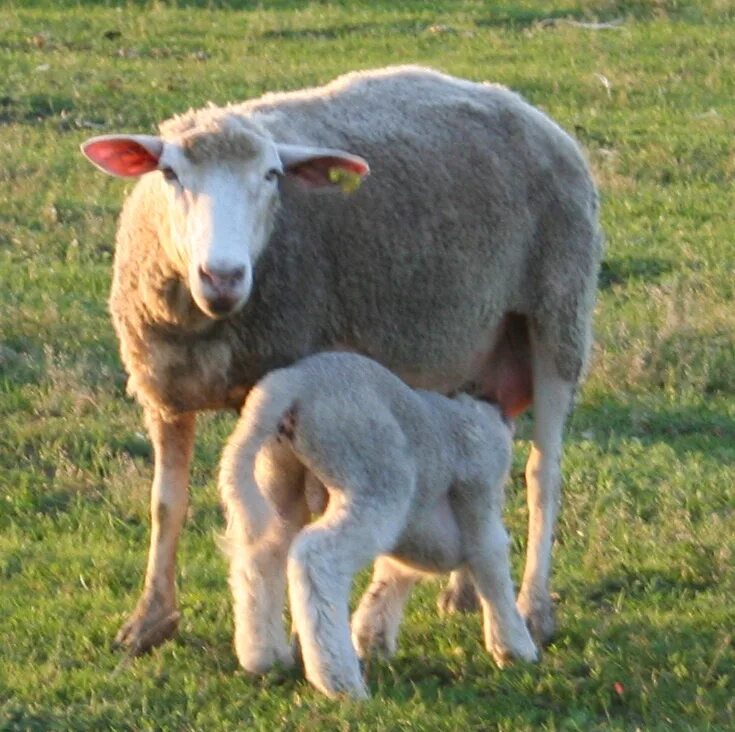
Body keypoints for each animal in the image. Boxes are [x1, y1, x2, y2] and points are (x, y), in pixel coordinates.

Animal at [80, 66, 604, 656]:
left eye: (272, 176)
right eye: (169, 173)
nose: (224, 276)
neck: (206, 322)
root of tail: (523, 107)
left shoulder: (283, 375)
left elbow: (288, 513)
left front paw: (288, 631)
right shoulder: (162, 390)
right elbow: (166, 503)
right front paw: (149, 620)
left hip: (558, 313)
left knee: (543, 472)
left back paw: (533, 608)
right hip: (475, 348)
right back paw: (464, 591)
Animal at [220, 352, 540, 700]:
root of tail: (292, 383)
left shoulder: (416, 528)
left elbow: (392, 573)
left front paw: (372, 637)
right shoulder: (479, 492)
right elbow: (491, 566)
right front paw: (515, 647)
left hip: (277, 476)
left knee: (261, 555)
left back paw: (263, 655)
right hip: (375, 478)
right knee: (315, 557)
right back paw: (339, 681)